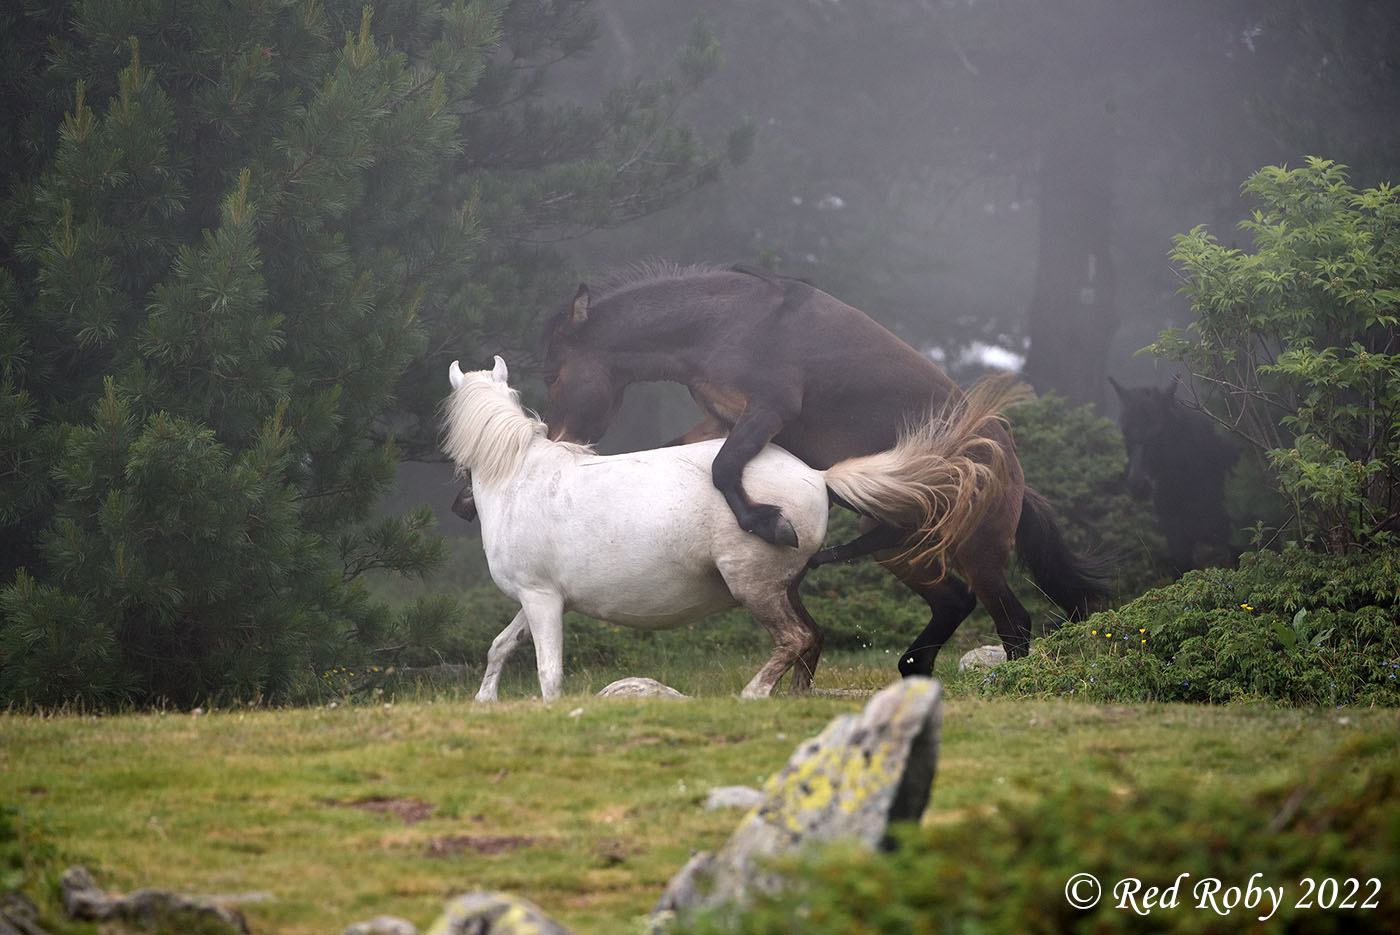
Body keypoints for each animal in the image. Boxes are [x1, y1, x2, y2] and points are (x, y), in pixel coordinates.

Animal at [436, 358, 1019, 699]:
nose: (460, 507)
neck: (518, 476)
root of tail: (816, 475)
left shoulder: (541, 599)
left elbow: (547, 672)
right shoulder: (539, 598)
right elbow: (500, 646)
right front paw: (484, 701)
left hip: (753, 586)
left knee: (794, 638)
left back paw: (754, 694)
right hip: (784, 585)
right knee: (810, 638)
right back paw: (795, 698)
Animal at [532, 263, 1103, 671]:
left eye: (555, 374)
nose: (558, 440)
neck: (730, 324)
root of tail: (1014, 476)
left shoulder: (767, 413)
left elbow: (723, 467)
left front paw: (768, 524)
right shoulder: (721, 417)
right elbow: (693, 454)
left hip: (977, 553)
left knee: (1014, 622)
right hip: (905, 550)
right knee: (950, 600)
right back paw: (906, 658)